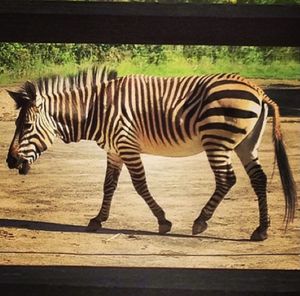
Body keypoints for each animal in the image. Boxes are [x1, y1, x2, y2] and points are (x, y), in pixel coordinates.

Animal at [5, 66, 296, 240]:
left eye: (27, 126)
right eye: (16, 124)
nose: (9, 161)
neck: (95, 110)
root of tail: (256, 89)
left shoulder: (126, 144)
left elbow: (139, 184)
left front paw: (163, 221)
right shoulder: (114, 150)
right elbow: (108, 185)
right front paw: (98, 220)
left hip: (217, 139)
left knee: (227, 179)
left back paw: (200, 222)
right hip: (246, 143)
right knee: (258, 178)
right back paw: (261, 230)